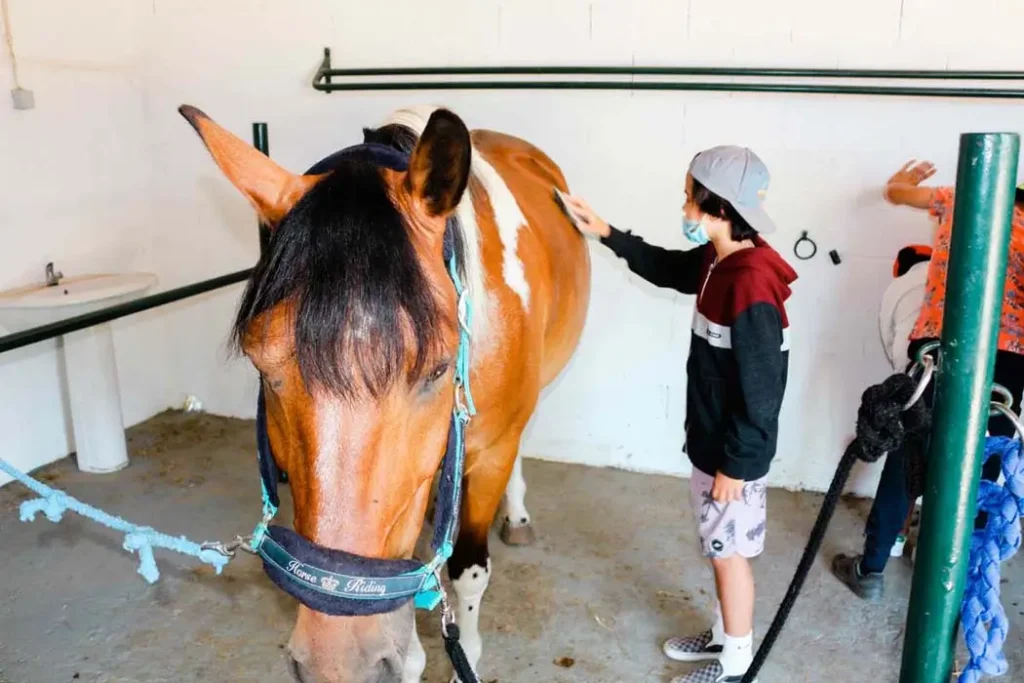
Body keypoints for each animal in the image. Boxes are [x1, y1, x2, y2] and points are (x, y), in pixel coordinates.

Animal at [179, 103, 591, 682]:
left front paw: (468, 650)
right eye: (263, 367)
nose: (336, 665)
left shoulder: (490, 453)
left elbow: (467, 573)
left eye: (439, 370)